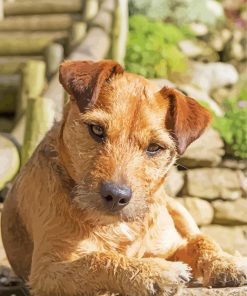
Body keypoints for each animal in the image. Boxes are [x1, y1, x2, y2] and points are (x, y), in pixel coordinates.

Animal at [0, 60, 246, 296]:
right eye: (96, 130)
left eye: (154, 147)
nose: (116, 196)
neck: (117, 225)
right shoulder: (46, 272)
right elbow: (95, 260)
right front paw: (154, 272)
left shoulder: (173, 246)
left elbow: (199, 242)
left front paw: (225, 263)